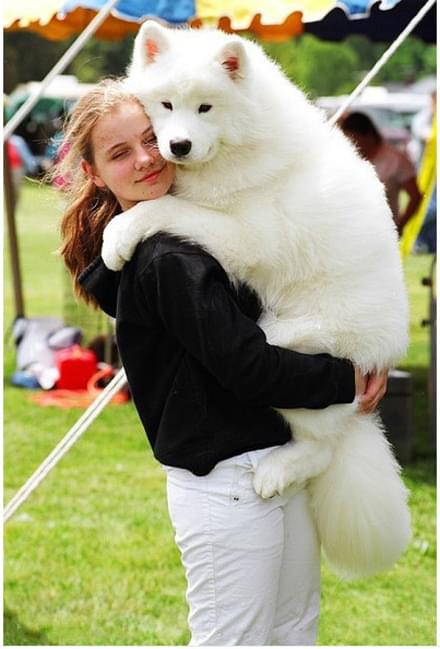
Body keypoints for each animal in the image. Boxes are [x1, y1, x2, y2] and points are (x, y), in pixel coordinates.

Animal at [101, 21, 410, 576]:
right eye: (165, 104)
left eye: (205, 108)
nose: (178, 146)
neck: (239, 144)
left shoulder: (244, 234)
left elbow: (160, 209)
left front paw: (117, 235)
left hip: (290, 348)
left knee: (320, 446)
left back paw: (277, 471)